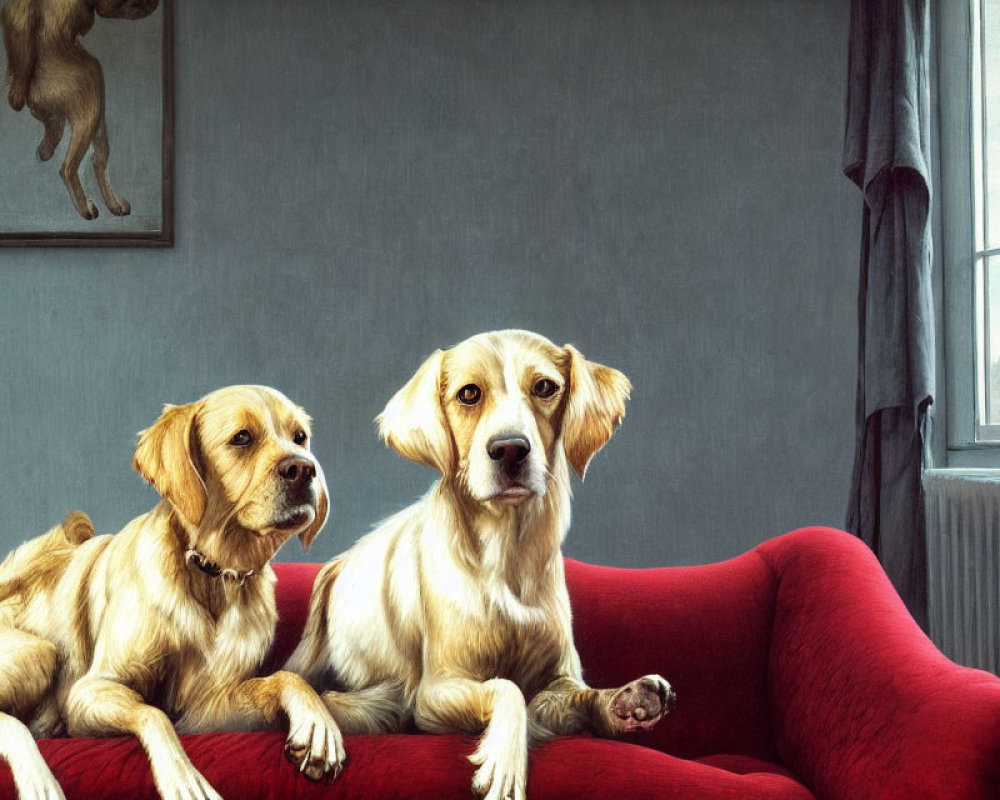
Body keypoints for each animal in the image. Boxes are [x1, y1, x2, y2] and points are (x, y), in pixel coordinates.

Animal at [0, 0, 158, 219]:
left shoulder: (14, 11)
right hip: (92, 96)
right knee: (71, 167)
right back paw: (86, 207)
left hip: (85, 114)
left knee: (85, 149)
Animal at [0, 384, 344, 800]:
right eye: (242, 438)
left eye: (300, 437)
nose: (305, 468)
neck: (212, 575)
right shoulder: (87, 692)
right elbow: (154, 712)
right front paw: (184, 778)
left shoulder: (204, 708)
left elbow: (284, 679)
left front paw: (318, 724)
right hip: (40, 652)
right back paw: (39, 778)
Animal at [290, 332, 680, 800]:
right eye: (469, 394)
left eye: (545, 387)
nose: (510, 448)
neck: (506, 561)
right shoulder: (434, 693)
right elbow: (506, 688)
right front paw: (505, 767)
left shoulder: (556, 684)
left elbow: (576, 696)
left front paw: (627, 701)